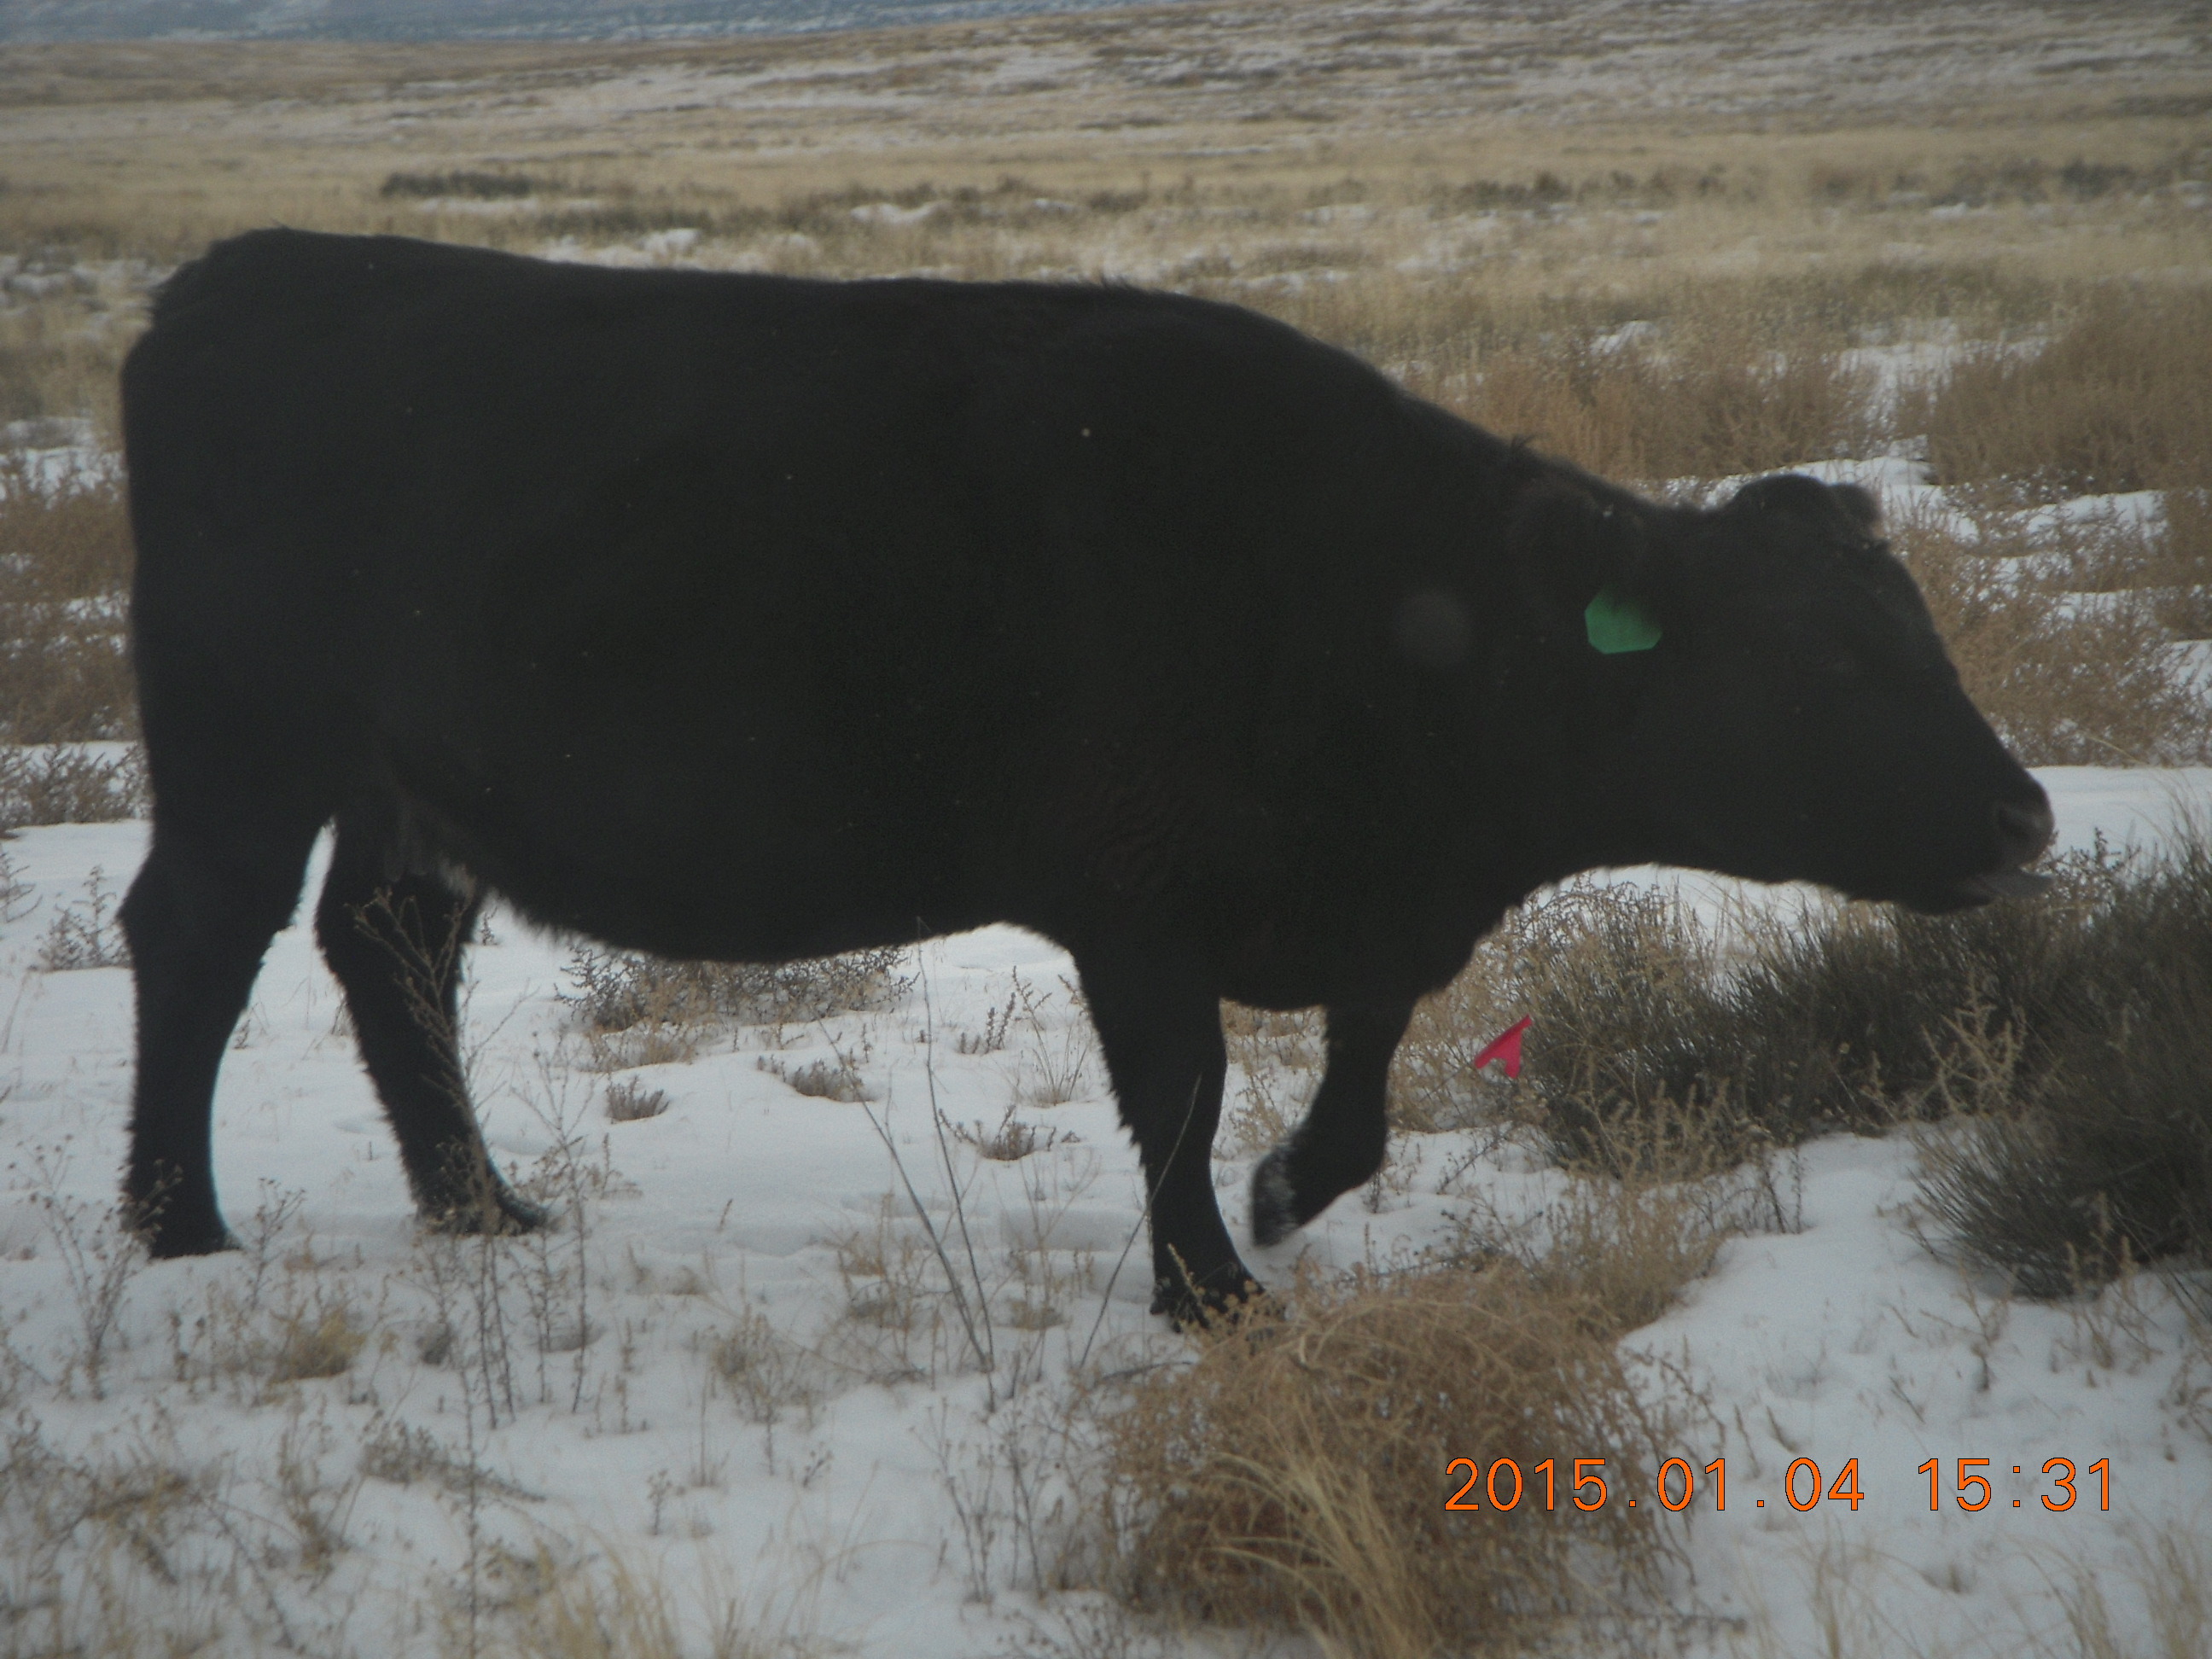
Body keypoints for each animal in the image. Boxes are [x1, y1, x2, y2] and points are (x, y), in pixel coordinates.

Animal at [117, 229, 2052, 1325]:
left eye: (1917, 630)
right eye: (1828, 662)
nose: (2023, 815)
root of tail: (234, 273)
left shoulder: (1357, 917)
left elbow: (1361, 1088)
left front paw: (1280, 1205)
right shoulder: (1135, 902)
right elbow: (1181, 1093)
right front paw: (1209, 1292)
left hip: (404, 787)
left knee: (387, 946)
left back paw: (482, 1209)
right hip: (238, 747)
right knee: (198, 936)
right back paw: (177, 1227)